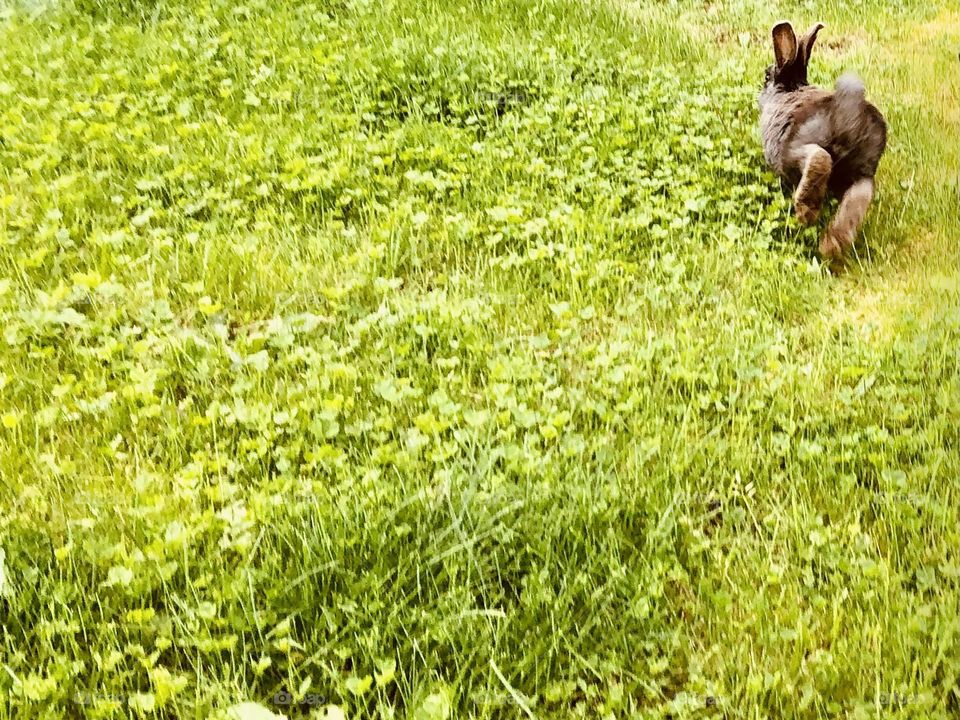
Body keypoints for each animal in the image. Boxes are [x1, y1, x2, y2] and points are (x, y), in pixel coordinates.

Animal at [758, 21, 887, 266]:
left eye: (766, 77)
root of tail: (847, 117)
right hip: (863, 172)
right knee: (859, 198)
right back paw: (831, 246)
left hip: (793, 150)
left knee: (819, 160)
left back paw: (806, 213)